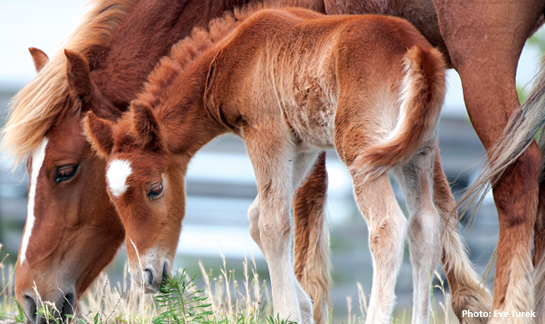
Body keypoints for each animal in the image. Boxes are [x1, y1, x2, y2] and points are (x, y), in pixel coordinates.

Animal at [84, 7, 450, 324]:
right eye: (112, 200)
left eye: (155, 189)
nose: (145, 276)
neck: (230, 56)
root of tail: (416, 50)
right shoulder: (301, 147)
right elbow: (255, 216)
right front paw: (305, 307)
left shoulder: (266, 132)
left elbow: (272, 224)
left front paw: (289, 313)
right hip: (418, 151)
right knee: (425, 226)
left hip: (362, 150)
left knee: (387, 226)